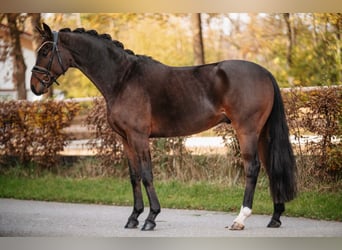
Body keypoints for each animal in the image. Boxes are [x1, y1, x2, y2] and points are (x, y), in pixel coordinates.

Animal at [30, 23, 296, 230]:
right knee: (271, 167)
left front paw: (151, 218)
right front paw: (134, 217)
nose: (34, 86)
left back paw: (240, 219)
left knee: (252, 168)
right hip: (262, 133)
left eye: (46, 51)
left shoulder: (138, 137)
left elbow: (147, 175)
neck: (123, 79)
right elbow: (134, 176)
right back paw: (275, 217)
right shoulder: (125, 139)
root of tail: (265, 72)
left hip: (247, 131)